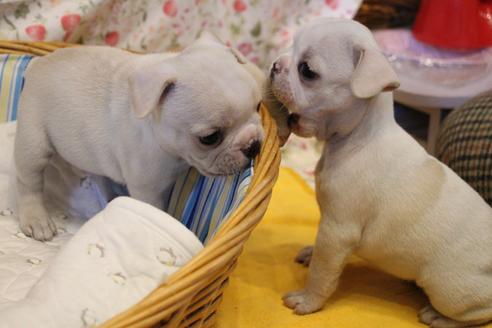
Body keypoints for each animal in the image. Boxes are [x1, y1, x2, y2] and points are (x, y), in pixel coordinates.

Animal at [13, 34, 264, 241]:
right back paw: (36, 219)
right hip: (33, 142)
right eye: (210, 138)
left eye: (258, 106)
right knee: (29, 183)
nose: (253, 145)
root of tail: (36, 64)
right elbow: (155, 209)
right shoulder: (148, 190)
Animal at [270, 18, 492, 328]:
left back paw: (439, 317)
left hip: (449, 289)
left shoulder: (337, 232)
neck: (358, 137)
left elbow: (322, 273)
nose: (275, 65)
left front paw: (308, 300)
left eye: (307, 71)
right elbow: (321, 255)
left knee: (479, 312)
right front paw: (310, 253)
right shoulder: (328, 228)